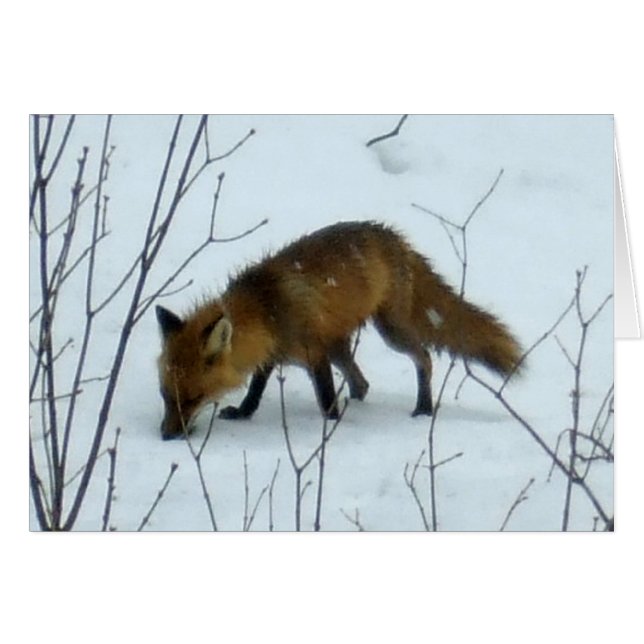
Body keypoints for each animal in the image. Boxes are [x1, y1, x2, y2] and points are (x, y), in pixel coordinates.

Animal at [156, 220, 522, 440]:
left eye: (193, 398)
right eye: (165, 395)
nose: (167, 435)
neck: (267, 309)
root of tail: (396, 237)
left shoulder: (314, 351)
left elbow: (325, 395)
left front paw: (331, 424)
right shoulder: (274, 353)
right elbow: (256, 390)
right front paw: (244, 413)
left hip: (390, 331)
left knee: (424, 357)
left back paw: (423, 407)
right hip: (341, 346)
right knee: (362, 382)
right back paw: (361, 400)